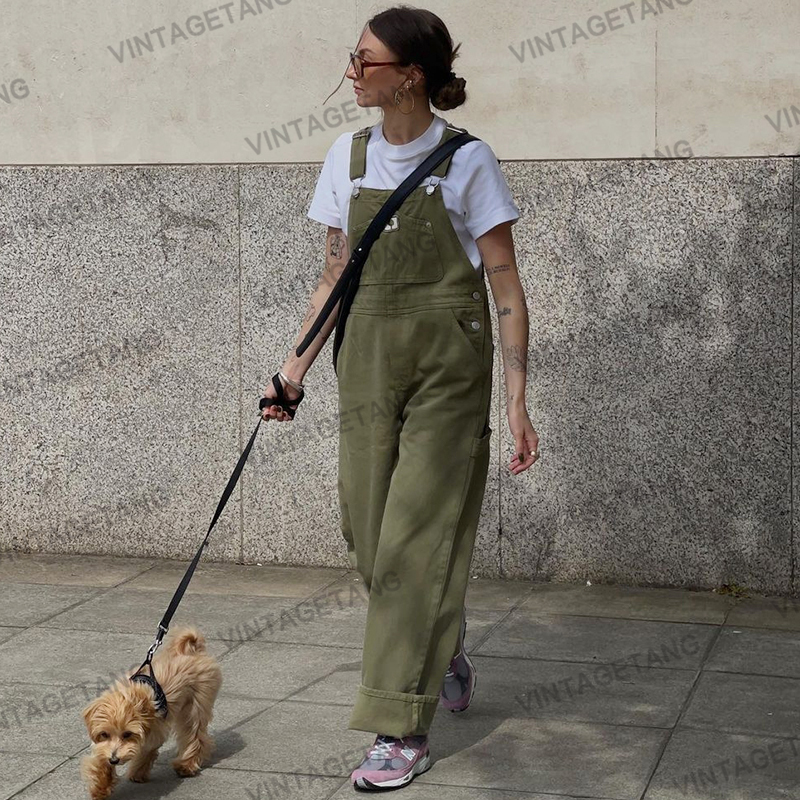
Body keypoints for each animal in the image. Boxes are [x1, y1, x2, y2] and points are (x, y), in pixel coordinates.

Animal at [80, 628, 222, 796]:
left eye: (127, 734)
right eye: (104, 734)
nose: (114, 760)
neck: (133, 698)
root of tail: (193, 651)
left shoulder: (155, 731)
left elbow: (147, 752)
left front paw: (137, 772)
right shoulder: (103, 746)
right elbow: (102, 760)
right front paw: (101, 787)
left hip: (196, 707)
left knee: (195, 736)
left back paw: (186, 765)